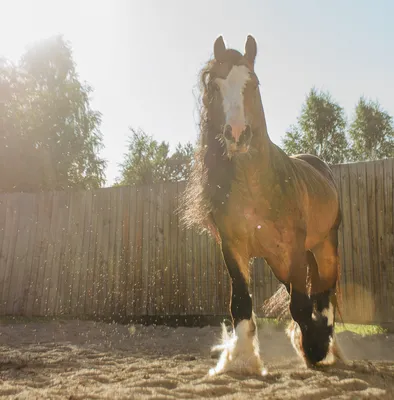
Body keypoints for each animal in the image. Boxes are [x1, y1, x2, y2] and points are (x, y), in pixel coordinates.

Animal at [182, 34, 344, 376]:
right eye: (214, 86)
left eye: (253, 83)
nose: (236, 134)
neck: (257, 189)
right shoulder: (234, 248)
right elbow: (242, 302)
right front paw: (242, 359)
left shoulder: (294, 248)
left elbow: (301, 304)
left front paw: (314, 349)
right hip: (280, 260)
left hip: (324, 245)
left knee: (326, 292)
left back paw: (325, 344)